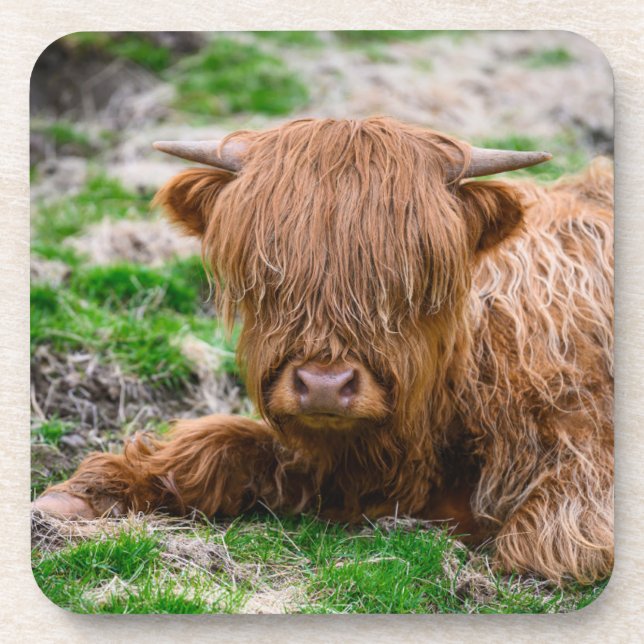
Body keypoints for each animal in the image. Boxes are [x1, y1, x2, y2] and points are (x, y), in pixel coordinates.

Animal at [34, 117, 613, 585]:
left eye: (408, 282)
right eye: (268, 277)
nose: (324, 388)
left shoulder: (583, 469)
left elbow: (542, 544)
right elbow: (218, 442)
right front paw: (85, 494)